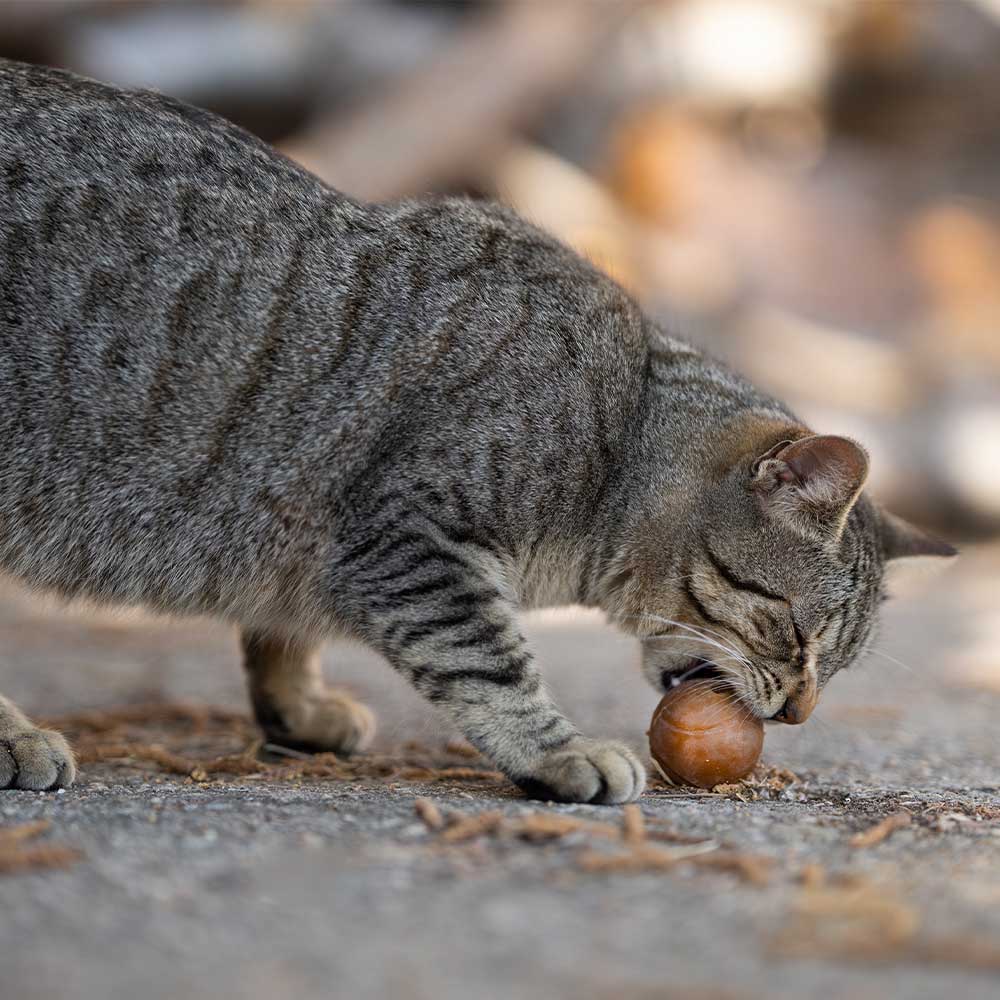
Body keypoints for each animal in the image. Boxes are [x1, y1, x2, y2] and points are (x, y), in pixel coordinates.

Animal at [0, 56, 952, 804]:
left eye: (838, 665)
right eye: (797, 634)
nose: (799, 711)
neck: (620, 427)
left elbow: (282, 628)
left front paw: (296, 704)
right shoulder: (408, 536)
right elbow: (487, 659)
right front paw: (557, 751)